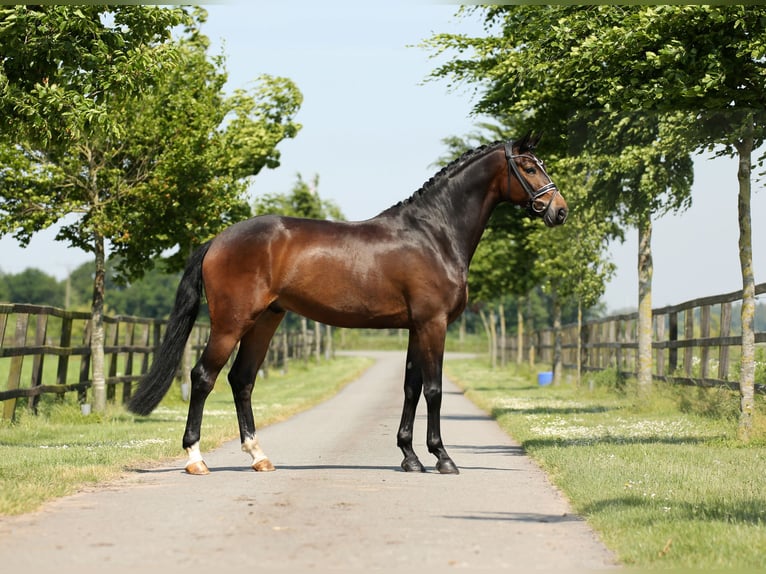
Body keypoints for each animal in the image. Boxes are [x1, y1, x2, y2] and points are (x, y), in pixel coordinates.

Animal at [129, 135, 568, 476]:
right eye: (529, 167)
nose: (559, 210)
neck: (433, 234)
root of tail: (218, 240)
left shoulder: (416, 326)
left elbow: (410, 387)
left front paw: (410, 457)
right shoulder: (433, 323)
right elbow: (434, 389)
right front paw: (442, 458)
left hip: (265, 320)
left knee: (242, 380)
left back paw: (259, 457)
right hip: (231, 322)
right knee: (203, 376)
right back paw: (196, 459)